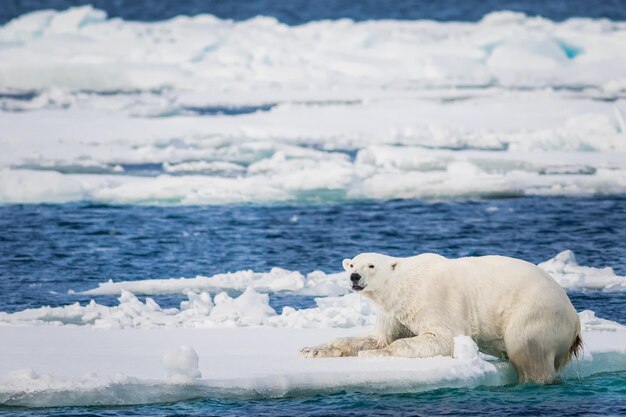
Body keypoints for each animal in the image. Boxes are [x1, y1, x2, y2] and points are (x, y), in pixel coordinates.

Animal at [298, 250, 580, 384]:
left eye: (371, 265)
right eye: (352, 264)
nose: (354, 277)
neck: (406, 285)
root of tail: (575, 319)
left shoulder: (435, 301)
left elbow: (440, 339)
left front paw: (373, 354)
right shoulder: (394, 312)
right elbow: (376, 337)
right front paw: (310, 350)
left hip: (535, 313)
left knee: (528, 351)